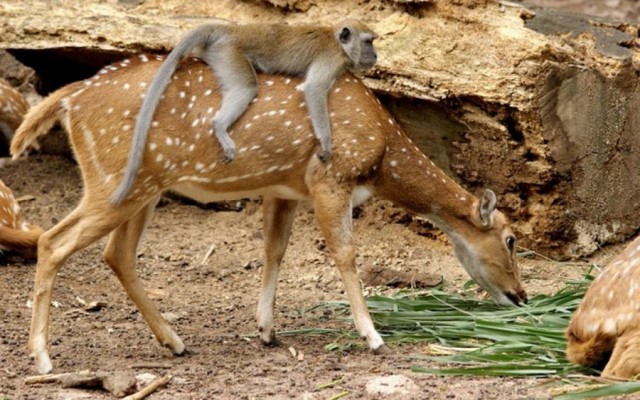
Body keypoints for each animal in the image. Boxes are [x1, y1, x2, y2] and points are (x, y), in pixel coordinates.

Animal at [11, 54, 528, 376]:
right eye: (511, 240)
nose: (522, 297)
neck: (382, 153)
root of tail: (69, 98)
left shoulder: (286, 189)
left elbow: (273, 250)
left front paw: (267, 331)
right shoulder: (330, 176)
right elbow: (345, 254)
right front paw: (373, 336)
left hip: (142, 188)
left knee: (116, 254)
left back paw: (175, 342)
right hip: (116, 179)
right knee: (53, 240)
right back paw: (43, 358)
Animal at [112, 19, 378, 205]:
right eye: (368, 41)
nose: (375, 55)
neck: (338, 42)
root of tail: (232, 31)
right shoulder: (331, 59)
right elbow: (314, 89)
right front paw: (326, 143)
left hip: (219, 56)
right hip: (230, 55)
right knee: (246, 87)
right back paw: (220, 127)